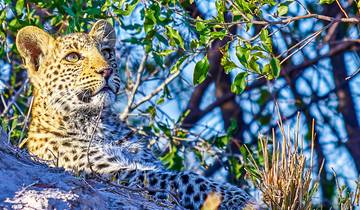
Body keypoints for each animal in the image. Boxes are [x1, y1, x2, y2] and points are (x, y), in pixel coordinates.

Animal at [16, 20, 258, 210]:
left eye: (107, 52)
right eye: (73, 57)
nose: (106, 70)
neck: (99, 123)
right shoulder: (109, 172)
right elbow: (182, 177)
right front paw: (239, 198)